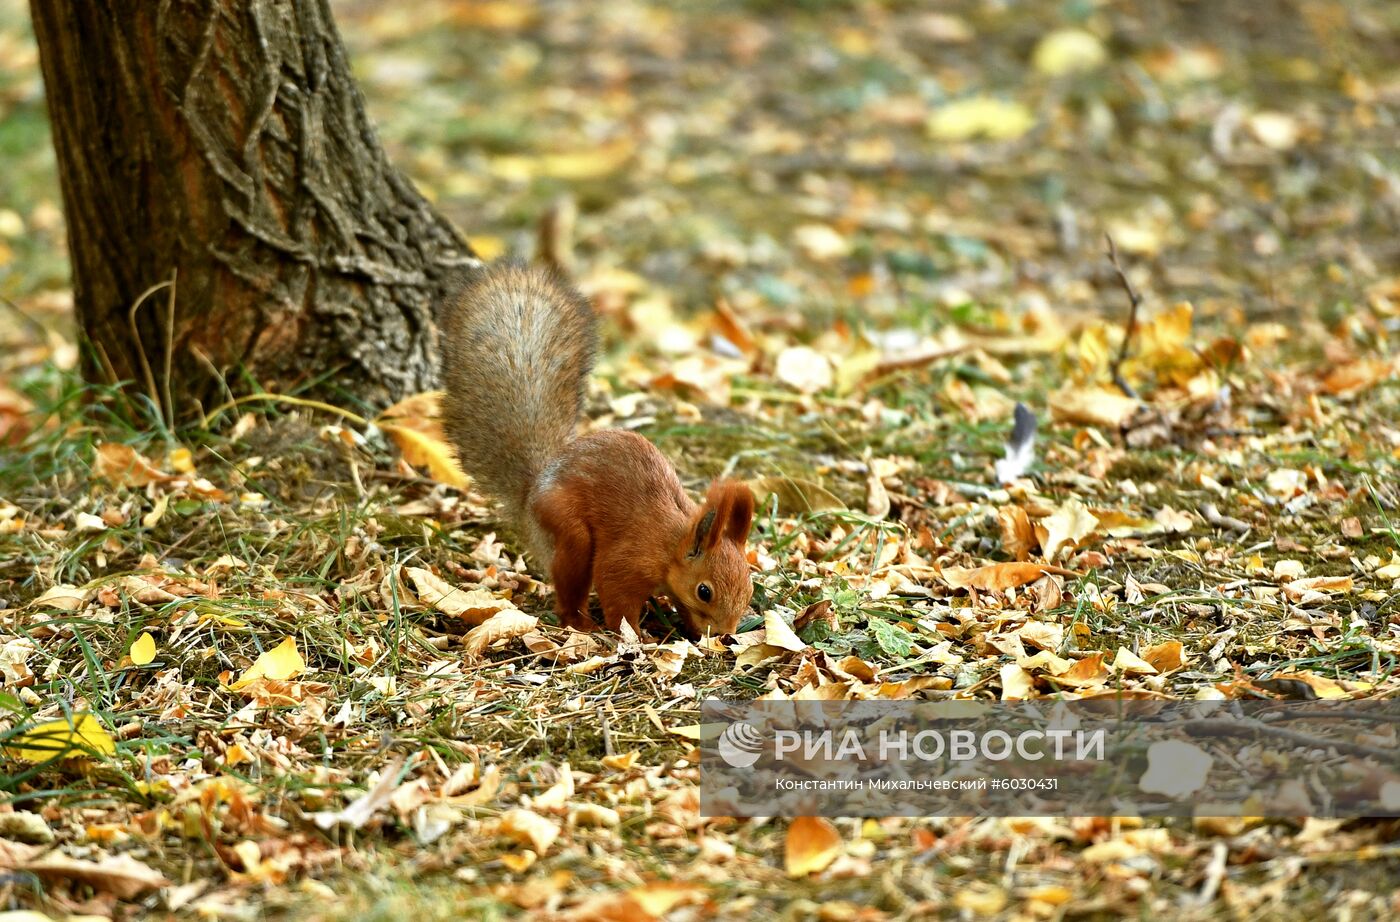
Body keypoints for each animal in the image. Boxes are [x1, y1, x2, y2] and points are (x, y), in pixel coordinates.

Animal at [445, 260, 756, 635]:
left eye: (750, 588)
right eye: (705, 591)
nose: (725, 634)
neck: (672, 544)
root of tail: (532, 491)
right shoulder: (630, 559)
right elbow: (615, 590)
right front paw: (636, 635)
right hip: (566, 525)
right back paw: (578, 621)